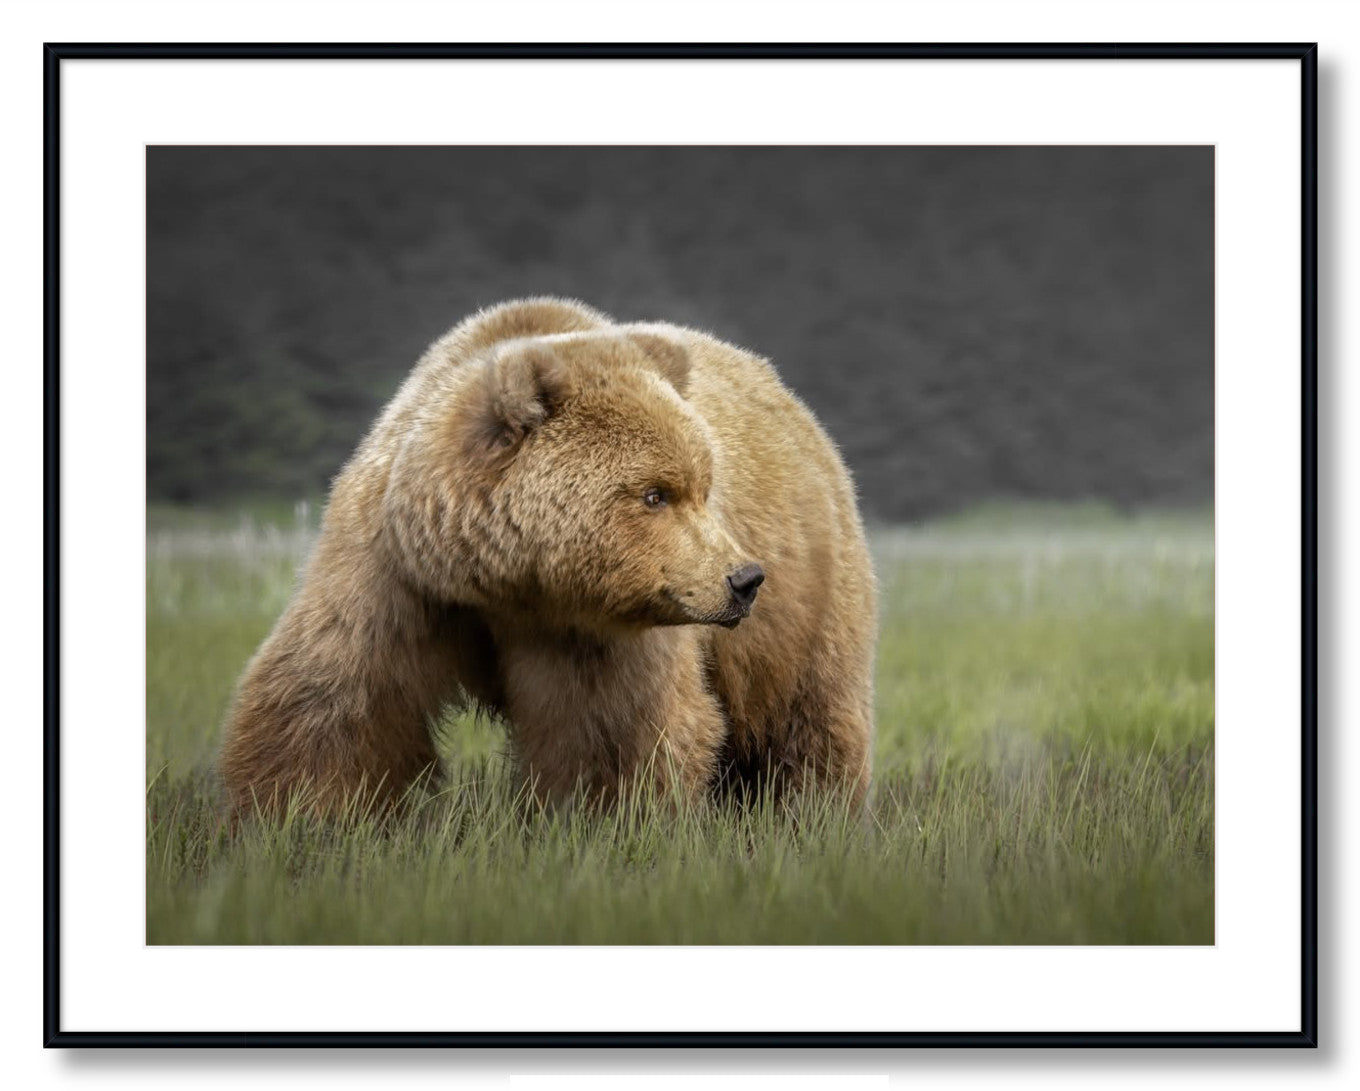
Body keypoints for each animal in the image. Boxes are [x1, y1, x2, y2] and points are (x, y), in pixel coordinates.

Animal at [218, 298, 876, 817]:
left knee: (809, 718)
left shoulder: (593, 631)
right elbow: (334, 701)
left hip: (811, 597)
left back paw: (813, 814)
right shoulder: (396, 574)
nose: (743, 578)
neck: (502, 582)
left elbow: (612, 732)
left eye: (703, 488)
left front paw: (604, 824)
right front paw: (295, 820)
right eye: (655, 493)